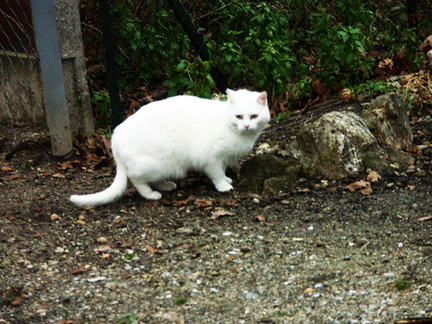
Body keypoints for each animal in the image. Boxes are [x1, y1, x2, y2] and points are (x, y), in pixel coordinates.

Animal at [69, 88, 268, 206]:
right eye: (239, 117)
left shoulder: (223, 159)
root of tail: (116, 135)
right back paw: (151, 194)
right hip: (157, 164)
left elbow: (223, 170)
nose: (247, 126)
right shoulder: (211, 159)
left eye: (254, 116)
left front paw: (227, 179)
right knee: (136, 179)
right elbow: (216, 174)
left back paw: (165, 186)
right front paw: (223, 186)